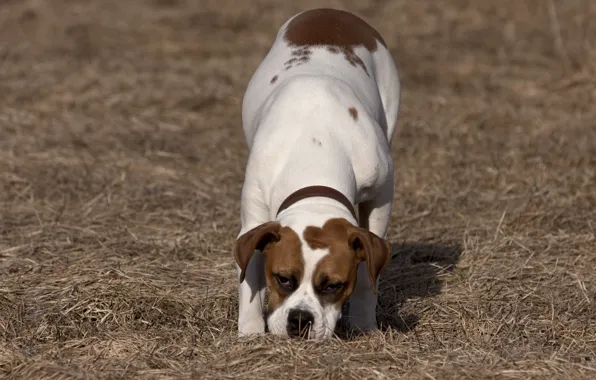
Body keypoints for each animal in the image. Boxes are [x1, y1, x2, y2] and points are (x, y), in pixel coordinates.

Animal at [233, 8, 400, 342]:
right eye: (283, 278)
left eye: (333, 285)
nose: (300, 319)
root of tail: (331, 12)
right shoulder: (254, 220)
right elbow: (249, 279)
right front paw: (251, 333)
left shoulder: (380, 197)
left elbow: (367, 276)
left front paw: (364, 323)